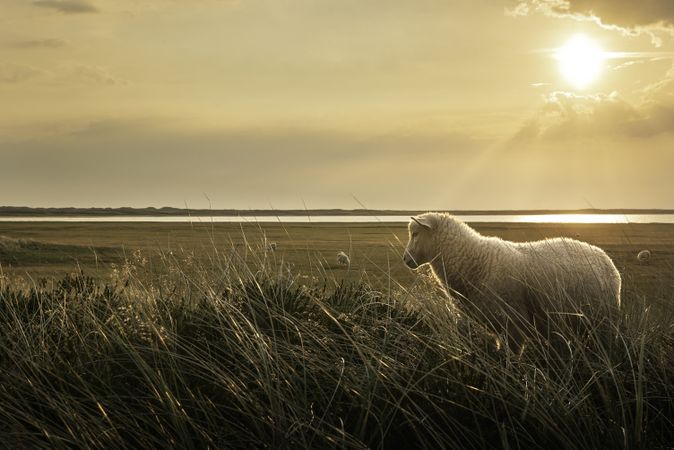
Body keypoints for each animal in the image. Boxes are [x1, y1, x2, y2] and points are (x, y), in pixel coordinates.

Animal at [402, 213, 624, 350]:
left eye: (415, 234)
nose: (405, 260)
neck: (477, 260)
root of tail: (606, 259)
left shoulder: (514, 323)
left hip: (605, 320)